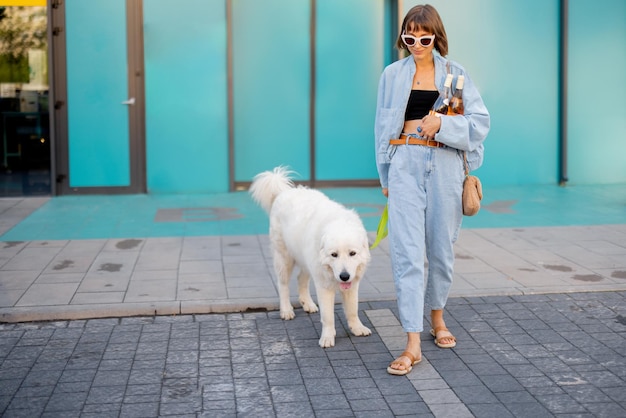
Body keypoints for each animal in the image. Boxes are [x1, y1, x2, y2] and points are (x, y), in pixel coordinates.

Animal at [249, 166, 370, 346]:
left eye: (352, 253)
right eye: (334, 255)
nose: (344, 276)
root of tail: (283, 192)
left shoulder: (352, 285)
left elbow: (353, 310)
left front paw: (357, 328)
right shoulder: (323, 286)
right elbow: (328, 316)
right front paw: (327, 337)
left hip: (306, 261)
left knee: (301, 279)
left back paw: (308, 303)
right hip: (284, 258)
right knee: (283, 285)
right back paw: (286, 310)